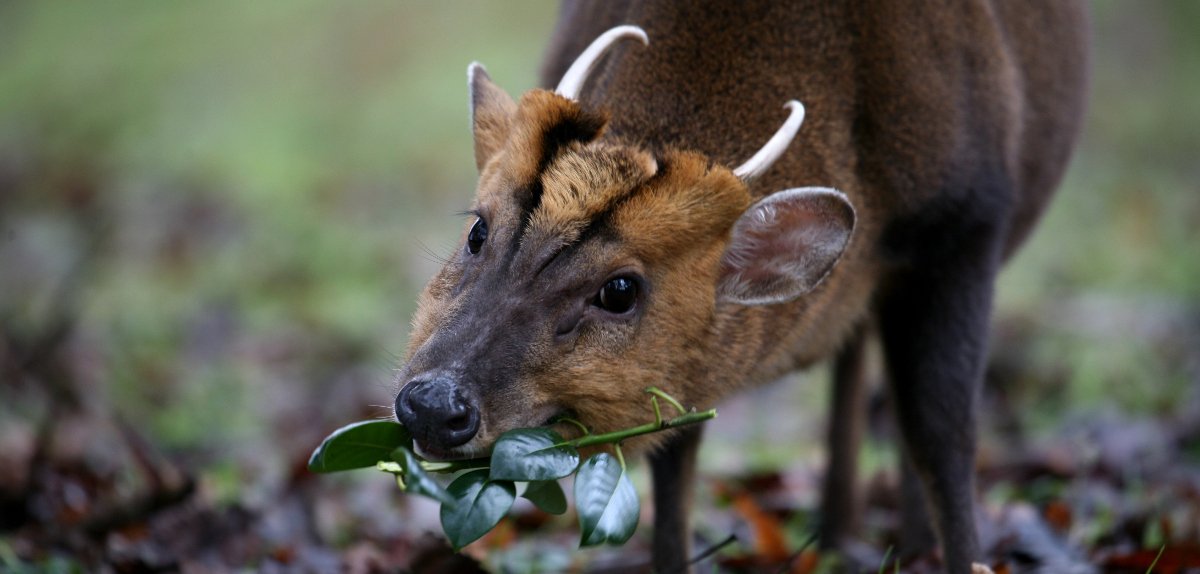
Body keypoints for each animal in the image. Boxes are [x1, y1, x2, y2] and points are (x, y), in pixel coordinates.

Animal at [391, 1, 1088, 572]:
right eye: (478, 229)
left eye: (620, 290)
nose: (431, 404)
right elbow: (675, 460)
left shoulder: (968, 225)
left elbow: (943, 429)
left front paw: (966, 558)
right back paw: (844, 534)